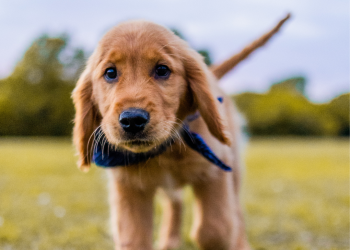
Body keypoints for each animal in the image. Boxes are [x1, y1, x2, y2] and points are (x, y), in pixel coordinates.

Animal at [72, 14, 290, 249]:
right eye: (110, 73)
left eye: (162, 70)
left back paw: (241, 243)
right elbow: (134, 239)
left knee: (236, 212)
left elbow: (214, 229)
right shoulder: (129, 188)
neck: (167, 149)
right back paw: (169, 241)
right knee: (175, 203)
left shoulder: (215, 171)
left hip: (235, 169)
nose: (132, 120)